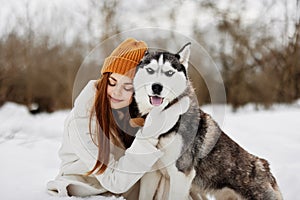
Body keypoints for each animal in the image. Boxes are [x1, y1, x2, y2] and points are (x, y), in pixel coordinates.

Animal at [132, 43, 282, 199]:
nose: (157, 87)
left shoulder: (181, 175)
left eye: (169, 73)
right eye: (150, 70)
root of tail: (264, 166)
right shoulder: (152, 174)